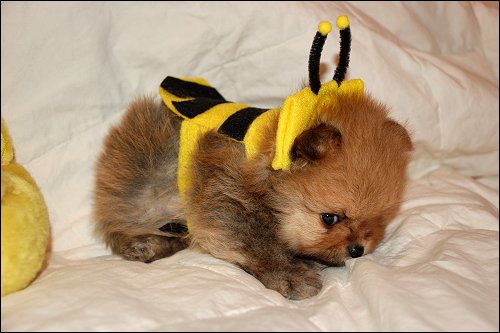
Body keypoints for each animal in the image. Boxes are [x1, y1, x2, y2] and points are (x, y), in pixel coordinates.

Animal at [92, 17, 412, 298]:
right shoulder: (223, 200)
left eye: (380, 218)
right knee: (119, 228)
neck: (263, 166)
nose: (358, 248)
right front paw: (289, 273)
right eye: (329, 218)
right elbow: (257, 243)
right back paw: (145, 244)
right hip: (137, 195)